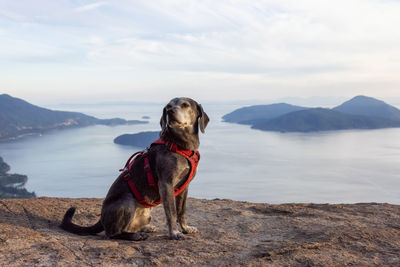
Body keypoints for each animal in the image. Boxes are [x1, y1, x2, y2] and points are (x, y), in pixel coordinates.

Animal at [60, 98, 209, 241]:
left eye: (185, 105)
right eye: (168, 106)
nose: (170, 112)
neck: (181, 146)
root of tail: (101, 219)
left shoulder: (184, 187)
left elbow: (181, 211)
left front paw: (185, 228)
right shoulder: (166, 184)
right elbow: (171, 213)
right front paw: (175, 233)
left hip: (145, 214)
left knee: (128, 227)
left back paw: (145, 228)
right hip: (127, 202)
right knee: (112, 234)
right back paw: (136, 236)